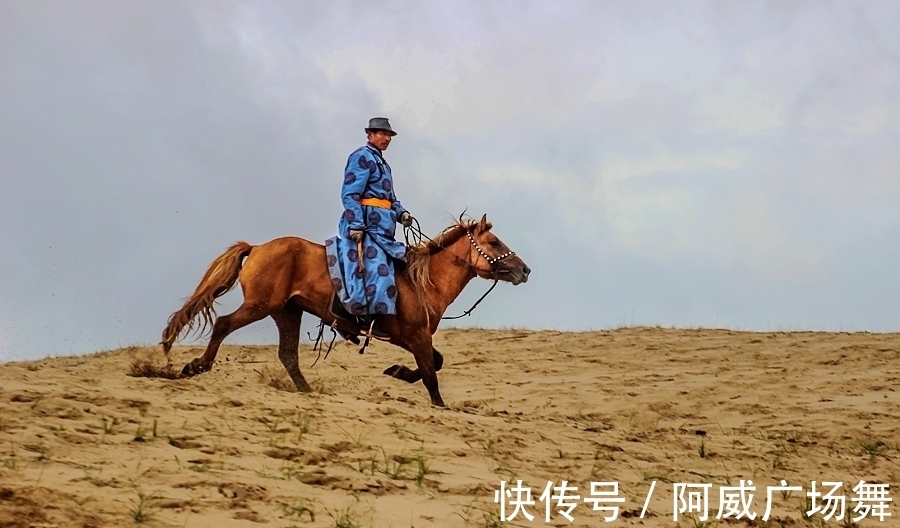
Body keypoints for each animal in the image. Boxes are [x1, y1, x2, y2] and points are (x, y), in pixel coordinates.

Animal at [160, 212, 528, 406]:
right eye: (494, 242)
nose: (524, 270)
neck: (422, 281)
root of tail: (258, 247)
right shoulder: (416, 336)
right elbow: (431, 376)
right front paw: (434, 402)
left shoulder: (415, 338)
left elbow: (434, 364)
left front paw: (397, 372)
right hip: (259, 306)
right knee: (223, 324)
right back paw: (196, 366)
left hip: (287, 312)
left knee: (288, 355)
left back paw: (308, 391)